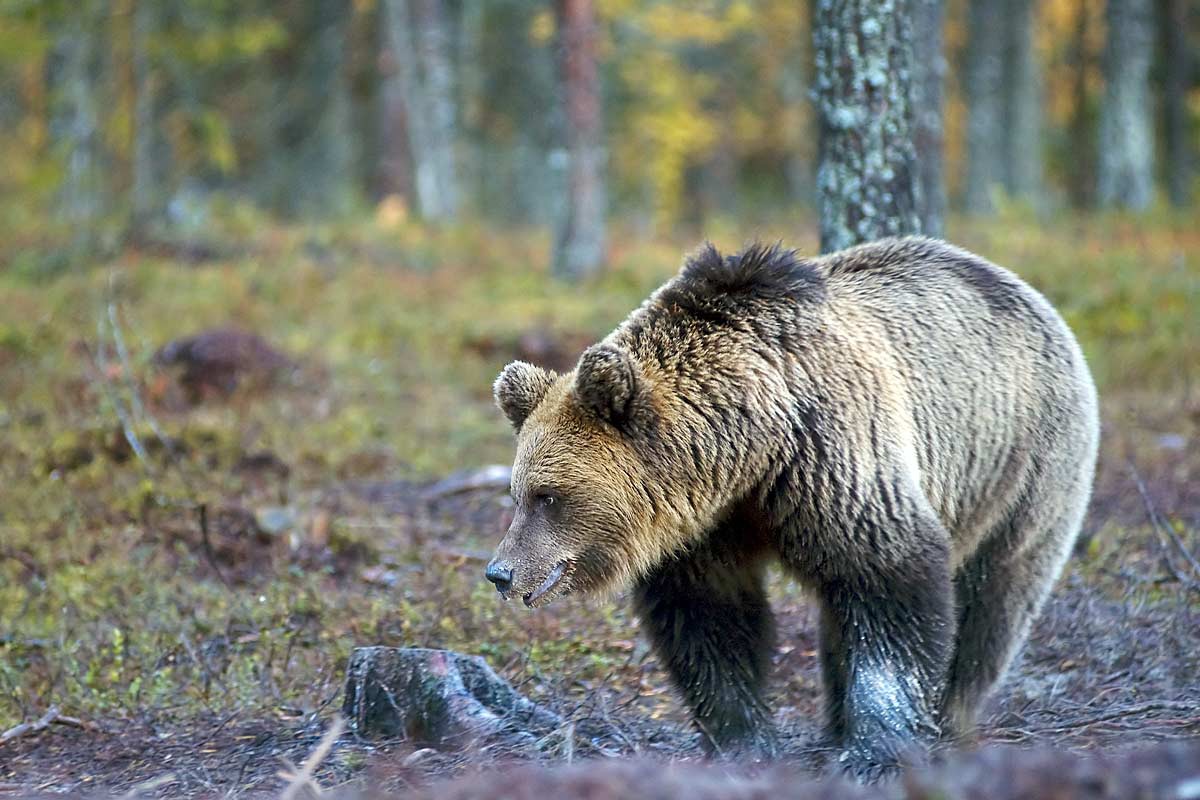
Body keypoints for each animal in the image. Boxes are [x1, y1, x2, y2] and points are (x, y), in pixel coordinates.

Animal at [484, 239, 1099, 782]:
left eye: (549, 495)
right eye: (517, 493)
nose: (500, 572)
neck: (748, 446)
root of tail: (1028, 293)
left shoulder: (831, 460)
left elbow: (889, 587)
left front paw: (876, 753)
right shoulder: (707, 527)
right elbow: (710, 622)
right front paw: (743, 743)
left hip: (1022, 465)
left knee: (992, 599)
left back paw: (950, 717)